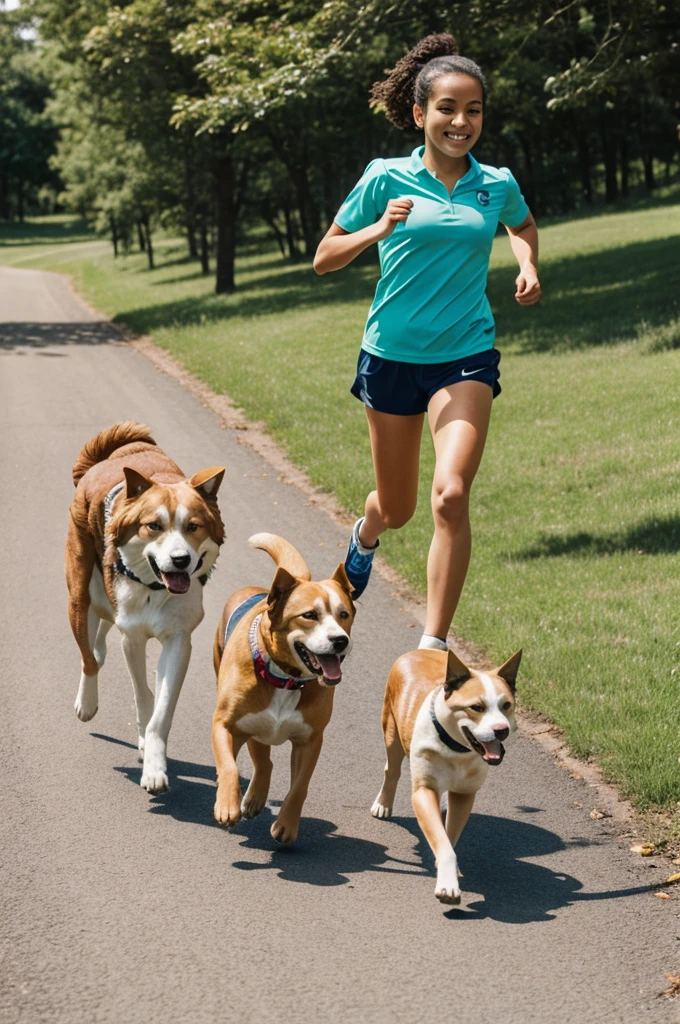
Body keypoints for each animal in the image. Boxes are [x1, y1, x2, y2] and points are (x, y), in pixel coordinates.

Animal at [64, 421, 224, 790]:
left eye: (193, 526)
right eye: (154, 526)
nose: (180, 560)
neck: (154, 588)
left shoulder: (179, 638)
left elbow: (160, 712)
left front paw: (153, 765)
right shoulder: (133, 637)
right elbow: (142, 694)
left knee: (99, 637)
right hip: (79, 591)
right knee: (88, 654)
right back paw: (87, 701)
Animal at [210, 536, 356, 839]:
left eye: (344, 614)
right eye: (309, 615)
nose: (340, 640)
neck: (285, 679)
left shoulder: (310, 740)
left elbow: (300, 786)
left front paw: (287, 824)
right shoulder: (226, 725)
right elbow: (228, 766)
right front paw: (227, 805)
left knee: (265, 762)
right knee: (257, 759)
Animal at [368, 647, 518, 905]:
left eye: (506, 705)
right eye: (477, 707)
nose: (502, 730)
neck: (454, 747)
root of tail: (422, 649)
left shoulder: (464, 794)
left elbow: (449, 835)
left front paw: (446, 867)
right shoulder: (424, 791)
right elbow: (442, 840)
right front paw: (448, 884)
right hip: (391, 728)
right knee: (392, 768)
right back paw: (383, 803)